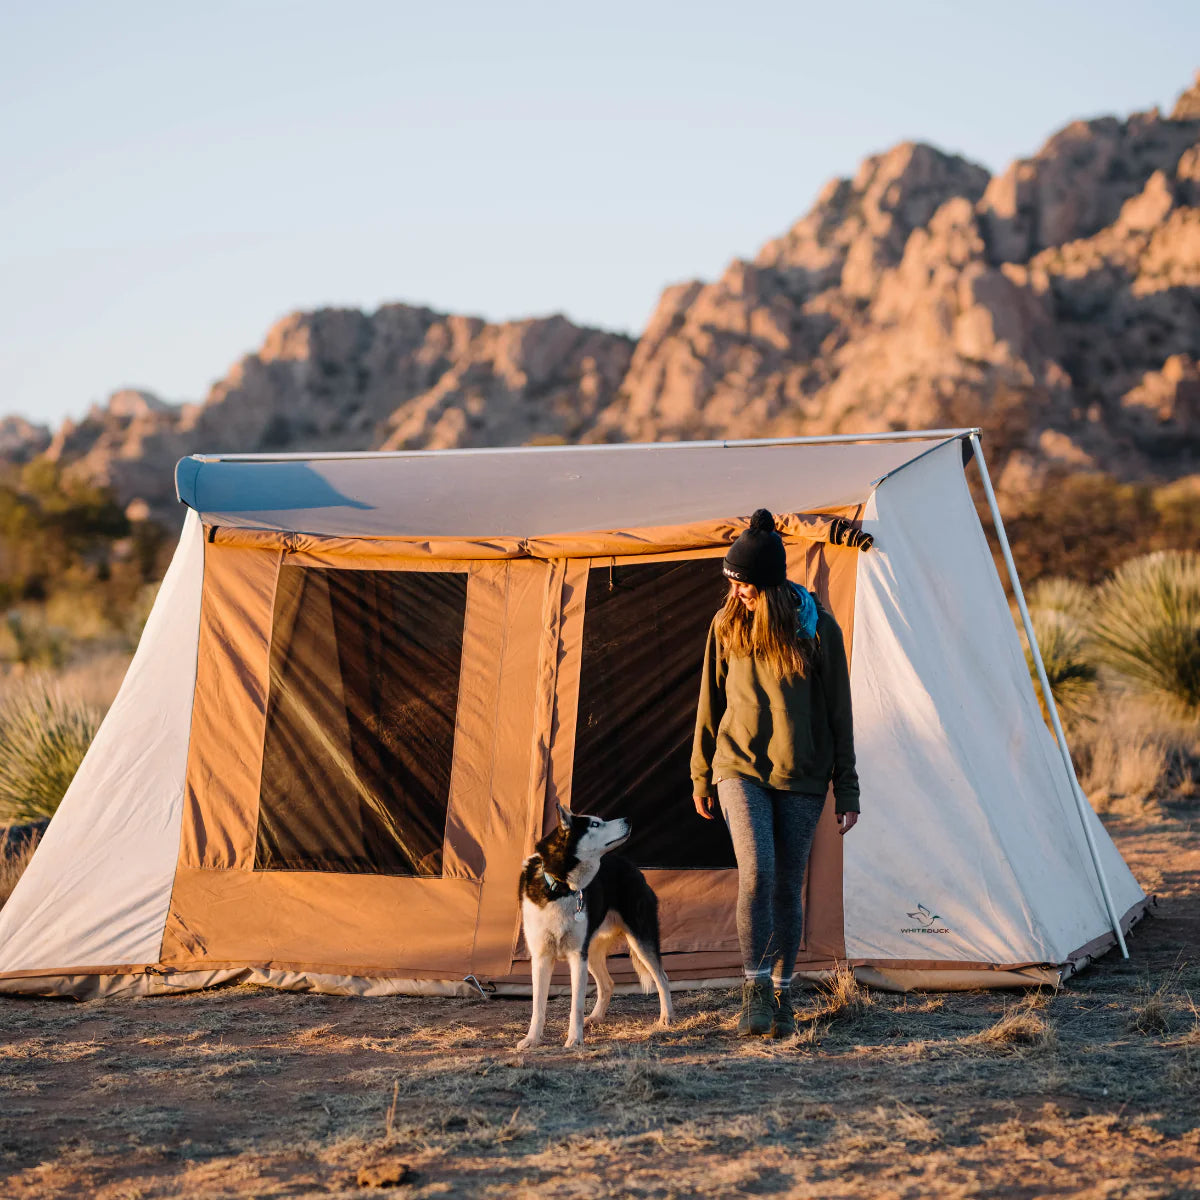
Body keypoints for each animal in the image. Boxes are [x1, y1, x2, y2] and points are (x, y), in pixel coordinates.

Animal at [516, 806, 676, 1051]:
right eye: (594, 824)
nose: (628, 819)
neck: (560, 888)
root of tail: (631, 866)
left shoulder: (576, 956)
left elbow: (576, 1006)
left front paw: (574, 1039)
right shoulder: (541, 957)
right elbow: (538, 1007)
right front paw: (532, 1039)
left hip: (639, 941)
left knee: (662, 978)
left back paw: (666, 1016)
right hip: (591, 953)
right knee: (608, 984)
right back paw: (596, 1017)